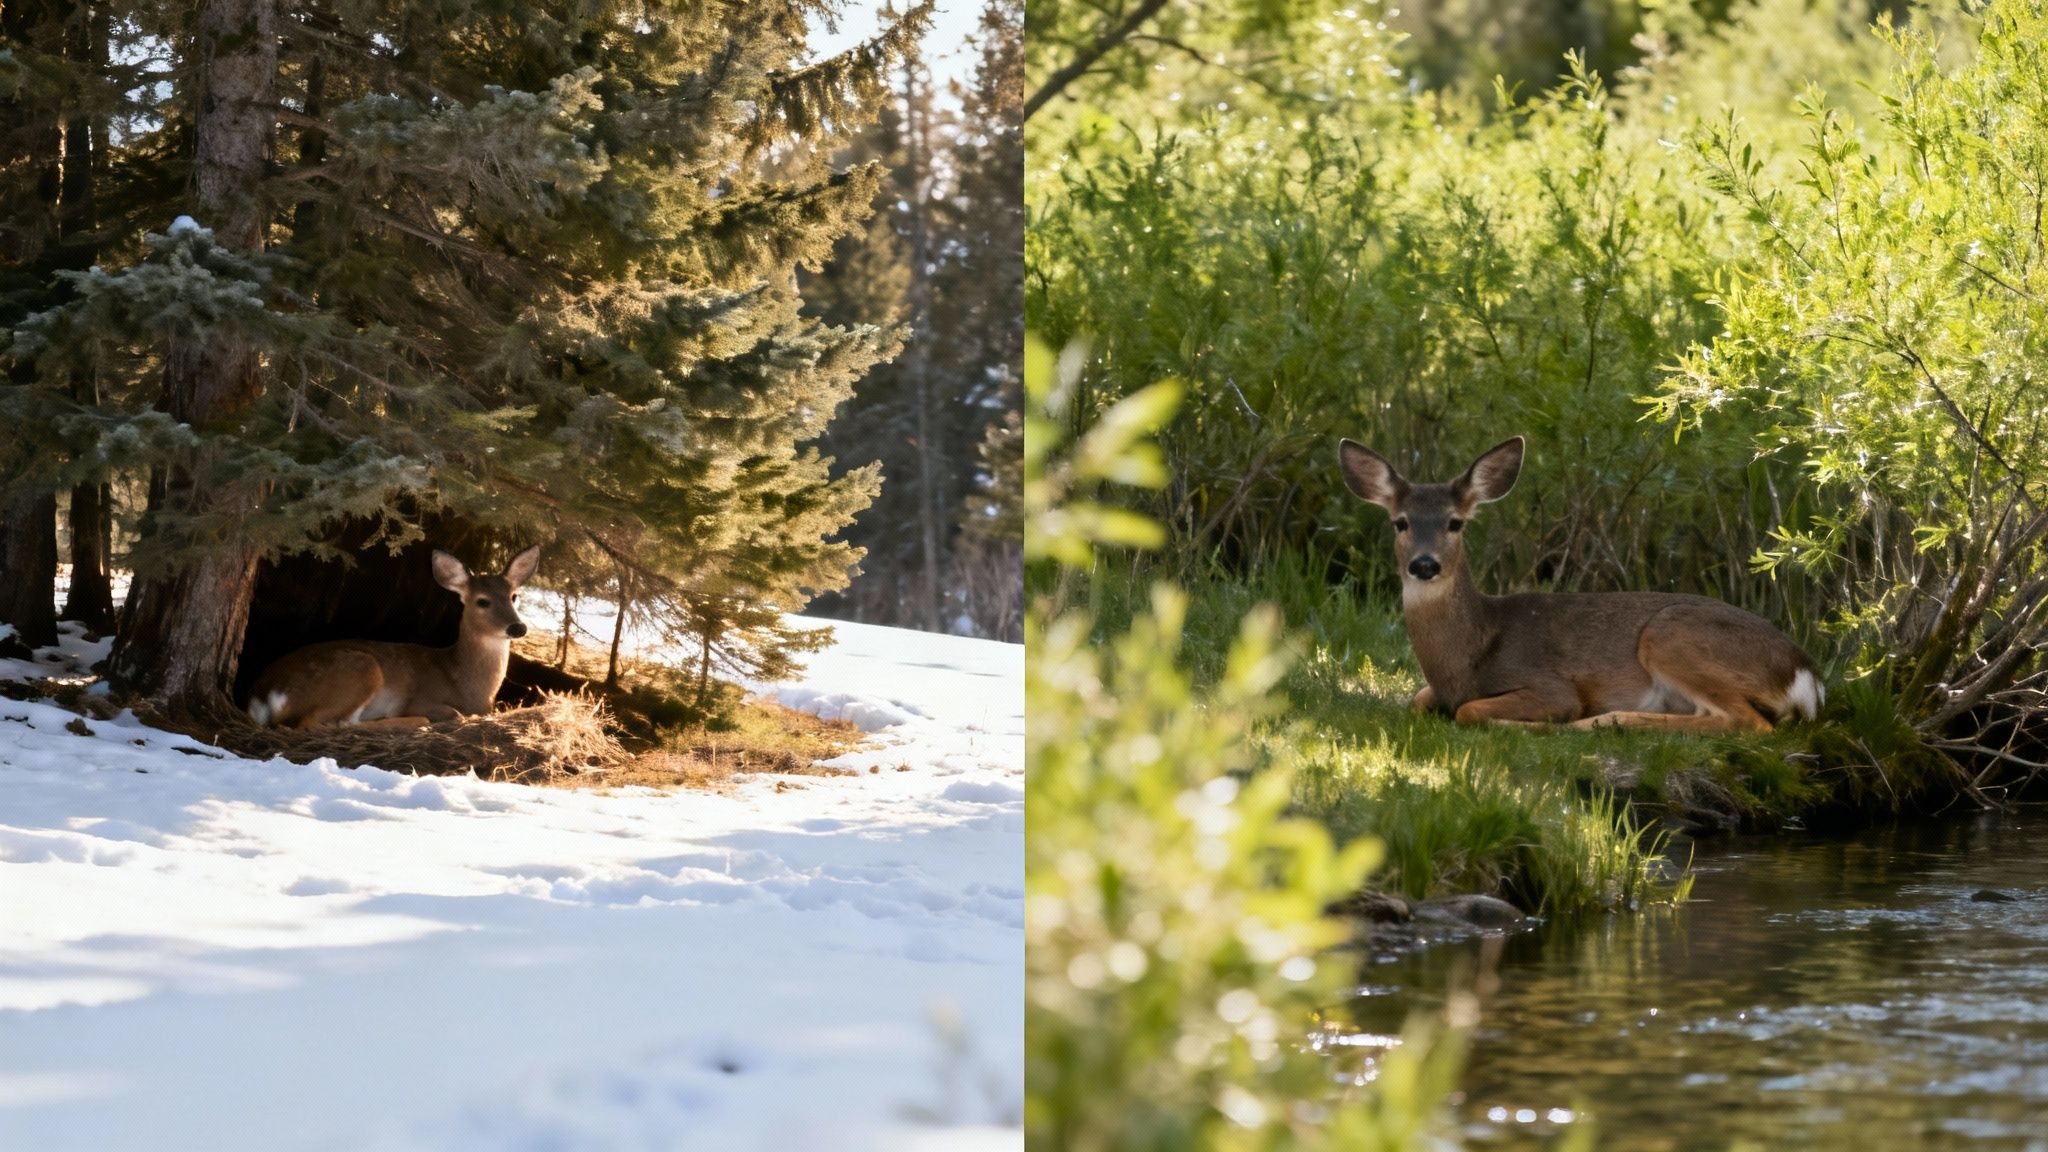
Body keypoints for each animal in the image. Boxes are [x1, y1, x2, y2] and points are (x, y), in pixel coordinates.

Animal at [245, 545, 541, 730]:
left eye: (514, 596)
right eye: (482, 601)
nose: (518, 627)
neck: (464, 682)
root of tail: (262, 693)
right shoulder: (421, 698)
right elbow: (454, 713)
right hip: (358, 670)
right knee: (316, 724)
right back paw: (415, 723)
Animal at [1337, 436, 1821, 733]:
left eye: (1455, 523)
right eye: (1400, 522)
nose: (1424, 564)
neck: (1467, 657)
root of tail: (1807, 676)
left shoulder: (1549, 684)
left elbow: (1470, 711)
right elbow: (1416, 700)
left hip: (1672, 636)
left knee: (1749, 722)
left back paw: (1604, 722)